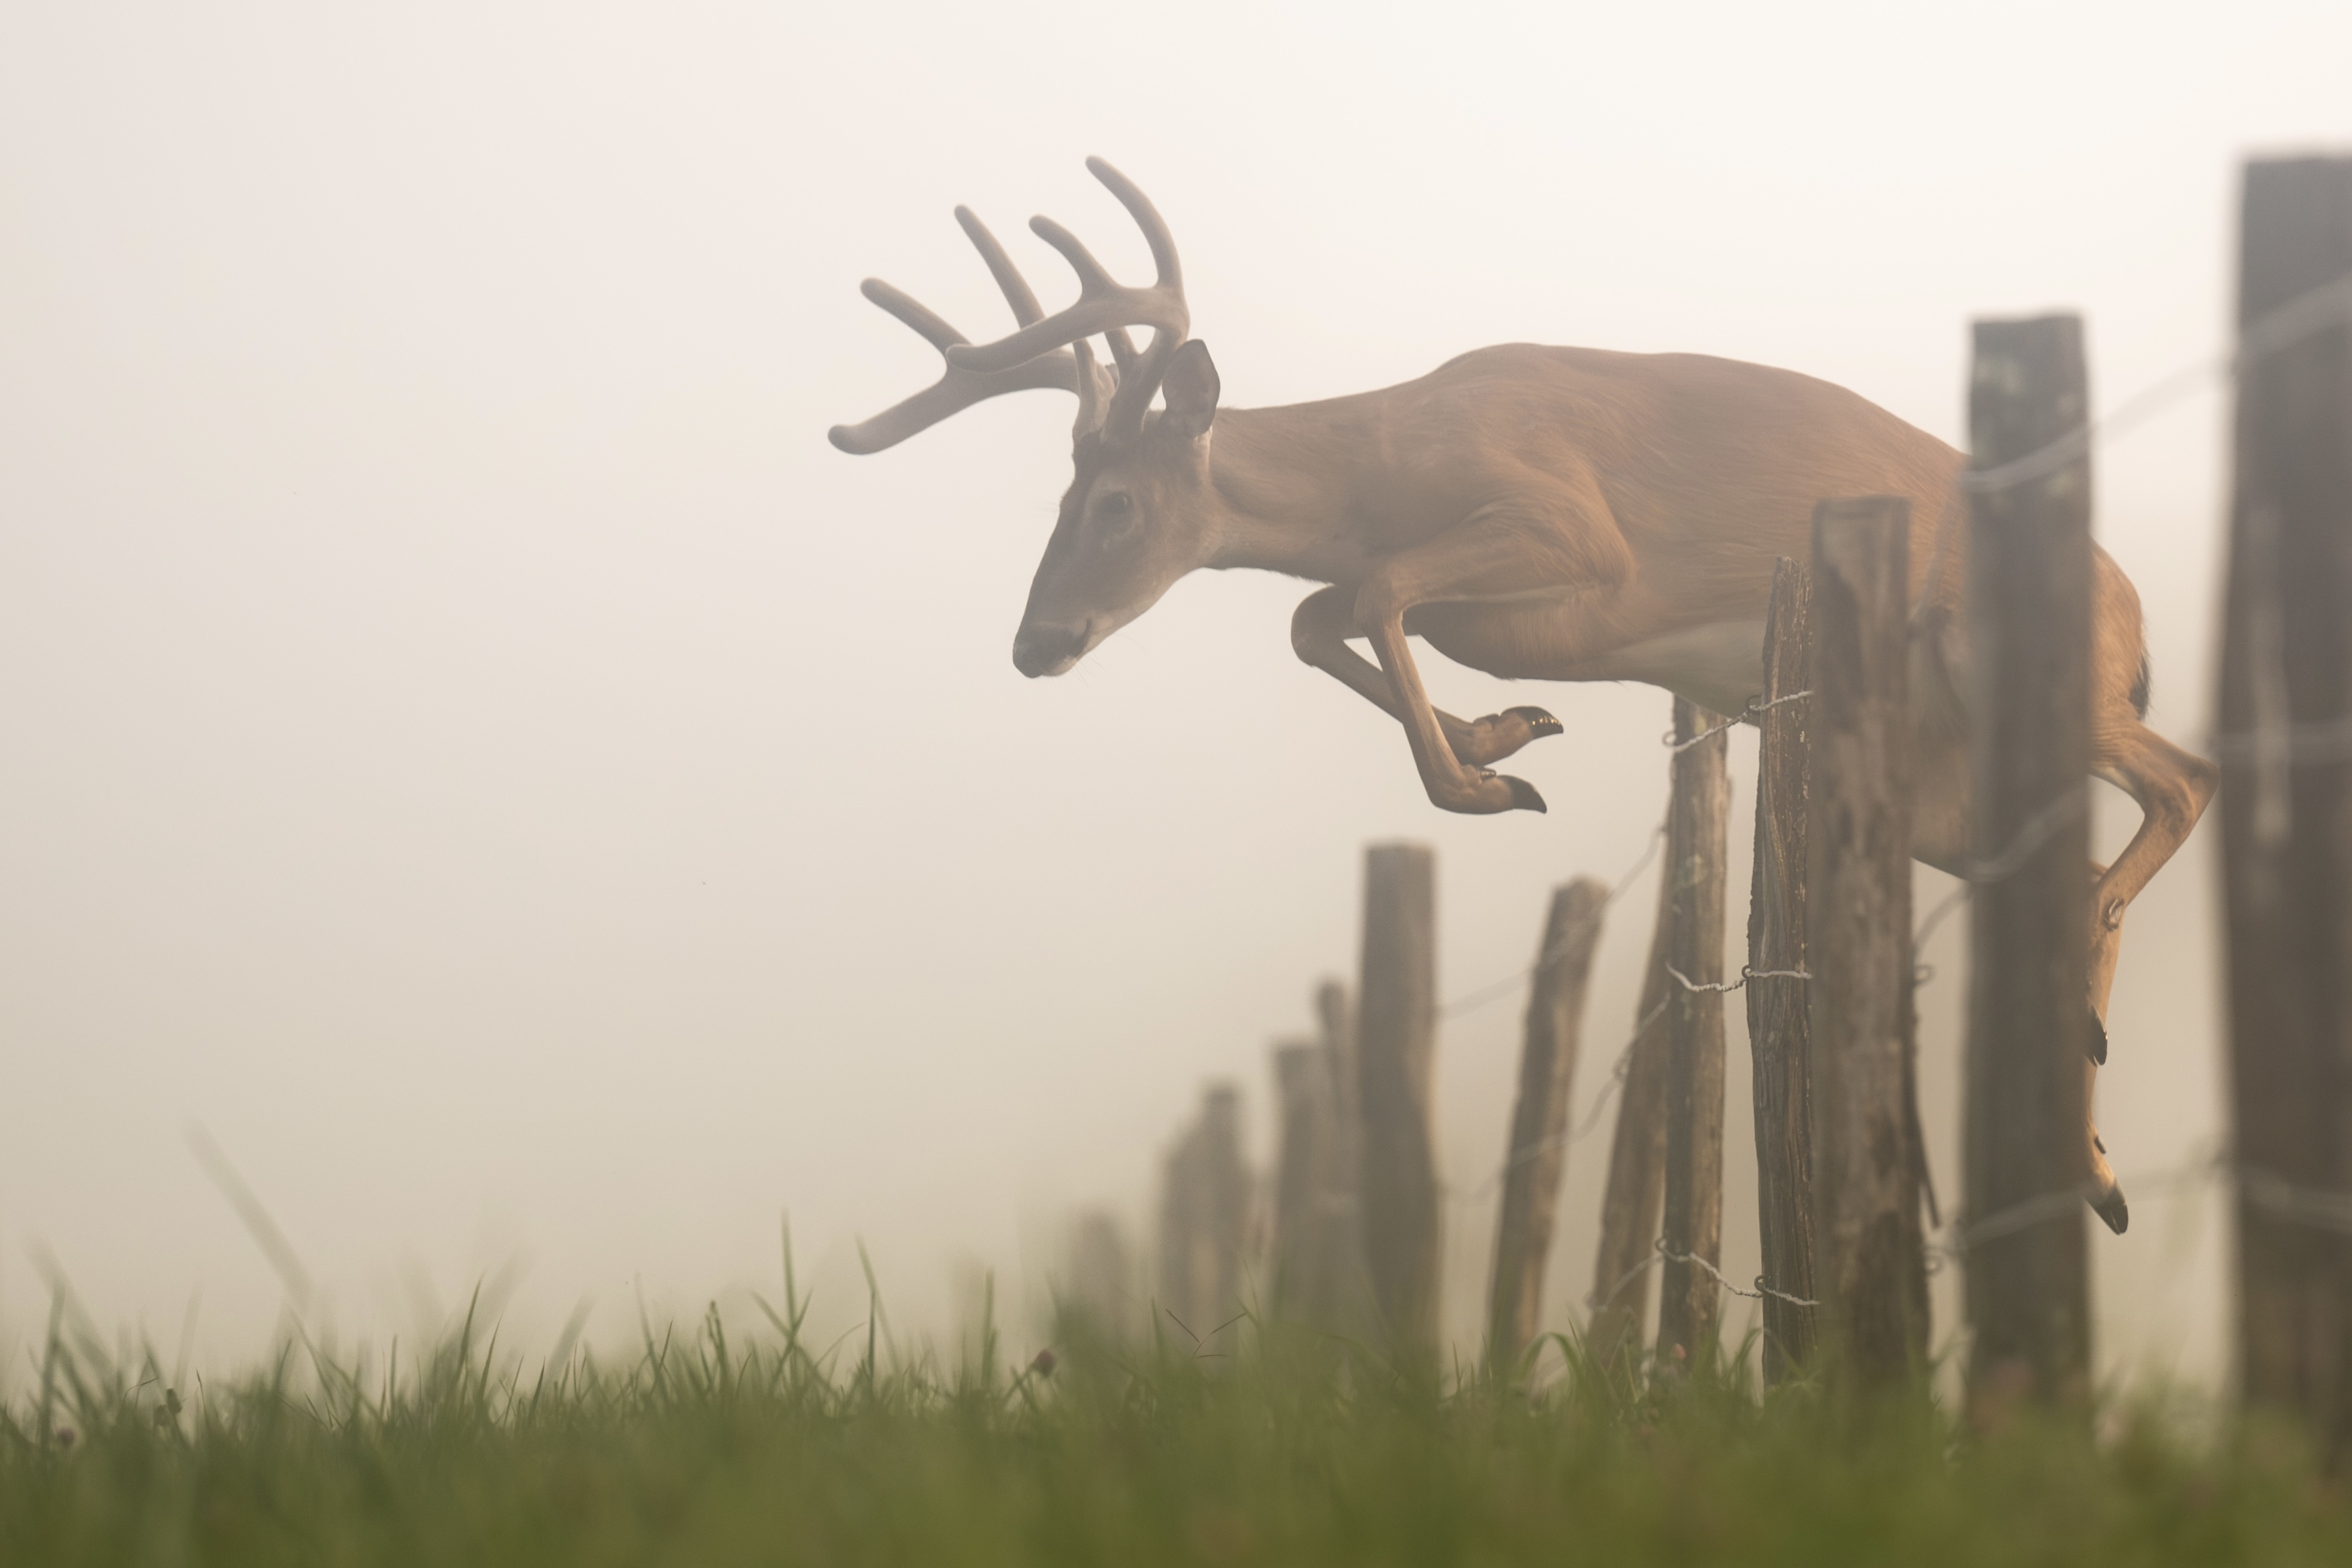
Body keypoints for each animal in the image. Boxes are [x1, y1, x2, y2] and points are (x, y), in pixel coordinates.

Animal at [828, 158, 2217, 1235]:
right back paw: (2090, 1162)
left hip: (2034, 675)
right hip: (1942, 795)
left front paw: (1492, 779)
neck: (1390, 459)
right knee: (2064, 854)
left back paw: (2086, 1095)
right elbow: (1321, 614)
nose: (1035, 643)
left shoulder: (1571, 531)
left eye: (1114, 503)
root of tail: (2134, 614)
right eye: (1062, 499)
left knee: (2185, 778)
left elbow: (1368, 590)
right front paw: (1505, 736)